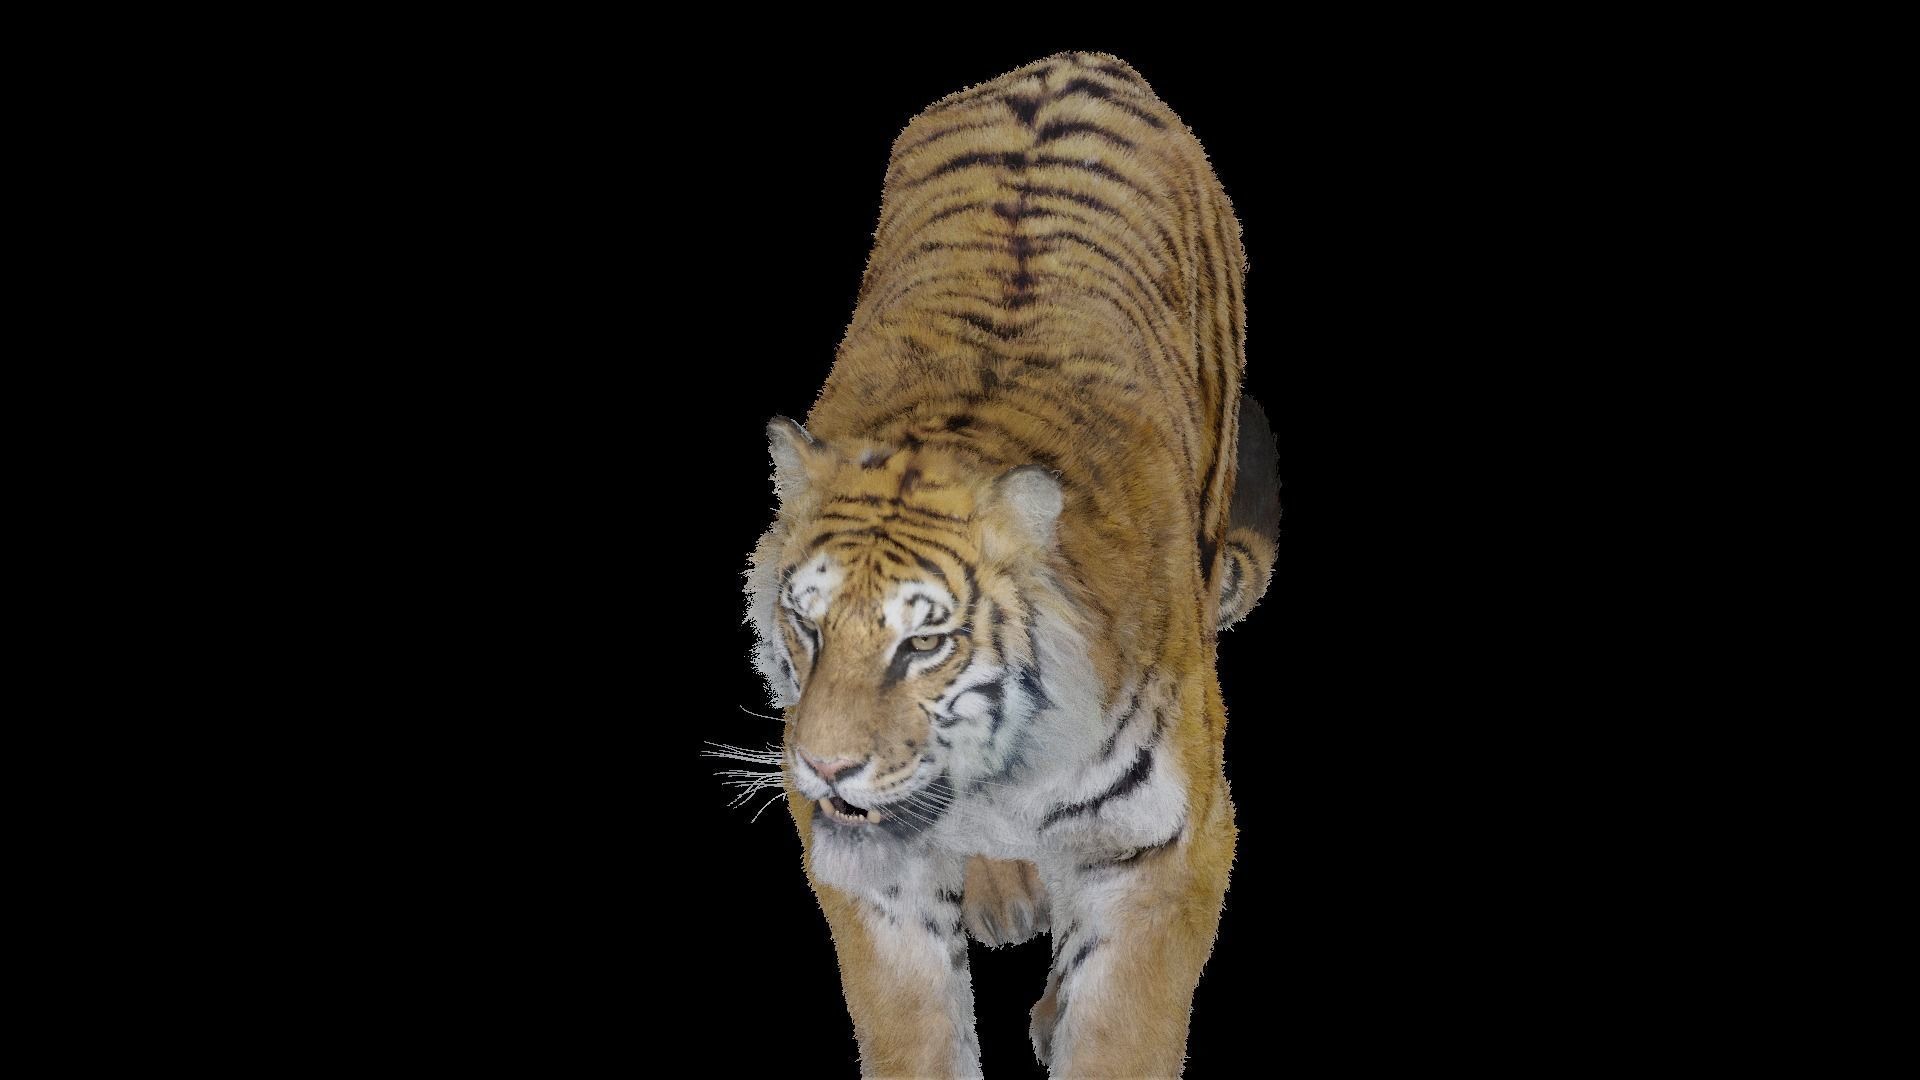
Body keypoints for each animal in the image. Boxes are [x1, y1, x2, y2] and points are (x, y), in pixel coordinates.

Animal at [743, 51, 1278, 1078]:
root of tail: (1074, 60)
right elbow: (915, 1028)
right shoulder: (875, 875)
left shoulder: (1171, 845)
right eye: (807, 623)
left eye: (925, 644)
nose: (823, 770)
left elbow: (1121, 1031)